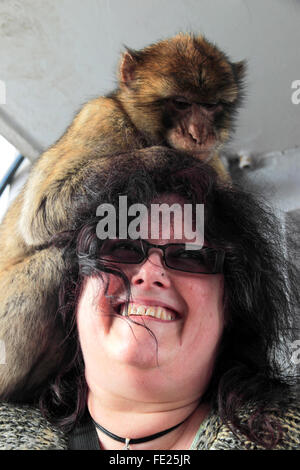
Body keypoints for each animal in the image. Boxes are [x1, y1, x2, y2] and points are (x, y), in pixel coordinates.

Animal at [0, 33, 245, 400]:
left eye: (211, 106)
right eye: (181, 103)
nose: (201, 134)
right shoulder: (101, 118)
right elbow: (43, 211)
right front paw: (168, 160)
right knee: (57, 257)